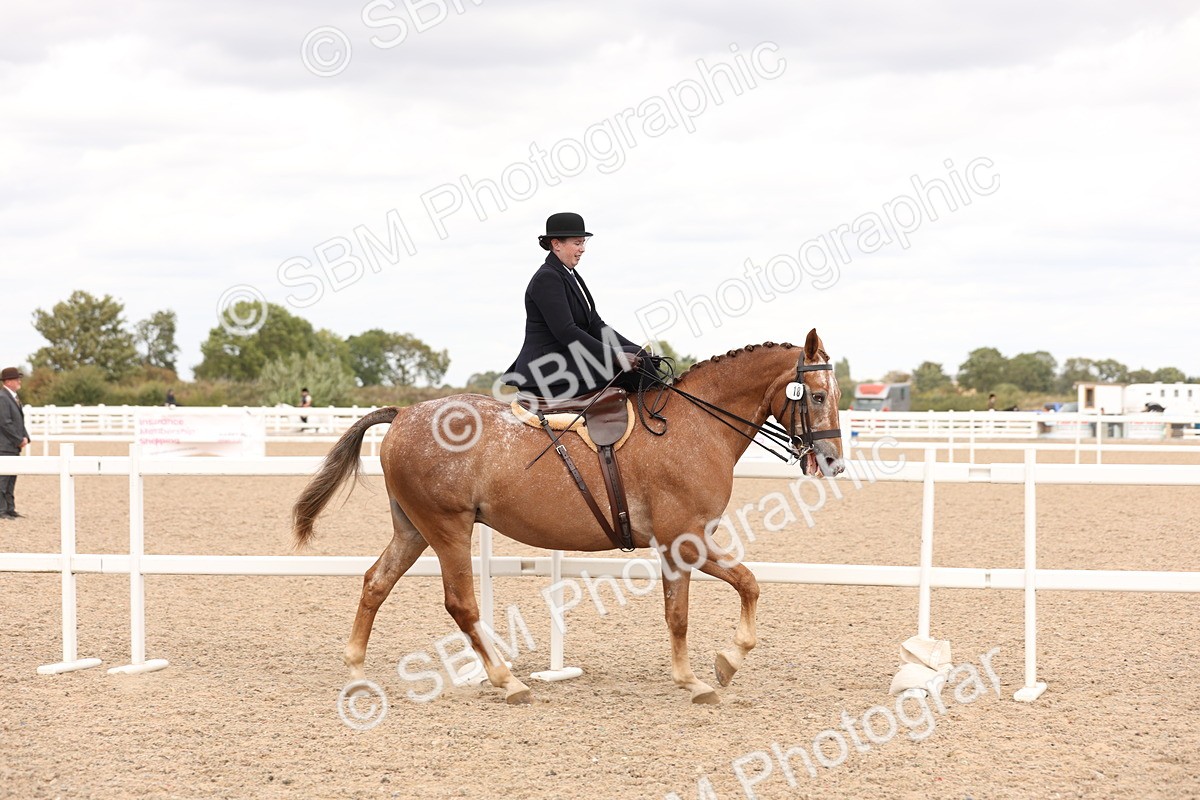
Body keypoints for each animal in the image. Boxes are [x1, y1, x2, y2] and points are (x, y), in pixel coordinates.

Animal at [292, 328, 844, 704]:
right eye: (816, 396)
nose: (834, 462)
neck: (695, 425)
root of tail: (405, 413)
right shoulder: (682, 540)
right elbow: (695, 607)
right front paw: (704, 676)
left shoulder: (686, 542)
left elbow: (741, 586)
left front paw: (720, 665)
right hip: (447, 527)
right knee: (460, 605)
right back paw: (508, 682)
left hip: (414, 528)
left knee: (376, 583)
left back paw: (357, 674)